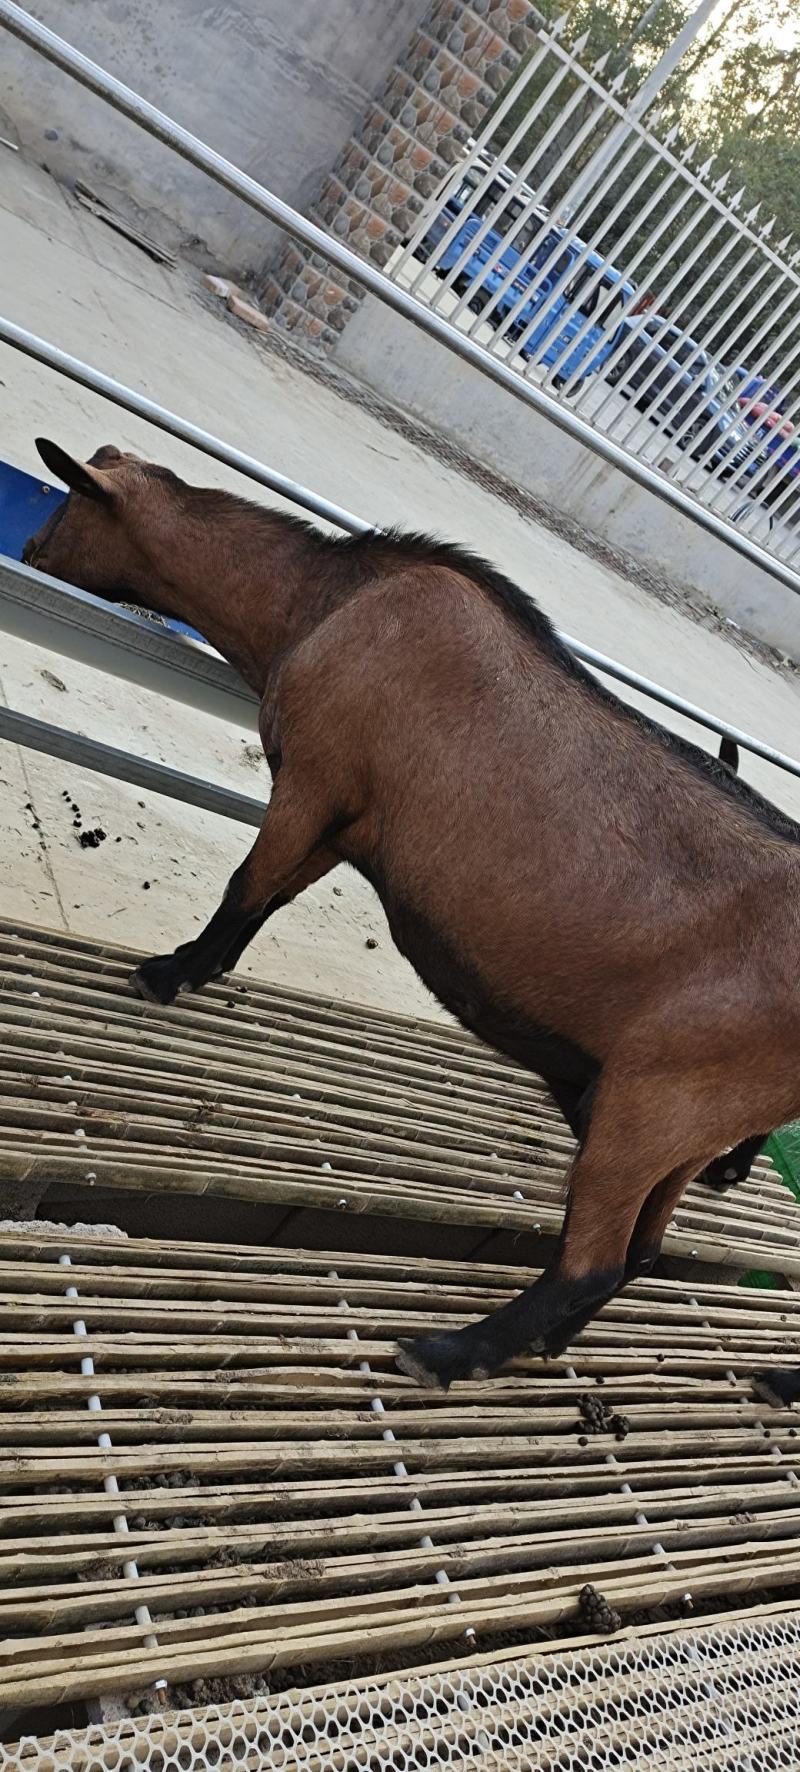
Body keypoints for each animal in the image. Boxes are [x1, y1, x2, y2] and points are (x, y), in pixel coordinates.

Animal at [23, 437, 800, 1396]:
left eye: (68, 503)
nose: (29, 548)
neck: (324, 598)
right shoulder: (350, 814)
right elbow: (270, 895)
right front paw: (205, 968)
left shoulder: (314, 773)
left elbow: (247, 881)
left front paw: (166, 974)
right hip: (696, 1126)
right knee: (645, 1250)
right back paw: (550, 1344)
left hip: (658, 1099)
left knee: (595, 1261)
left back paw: (448, 1352)